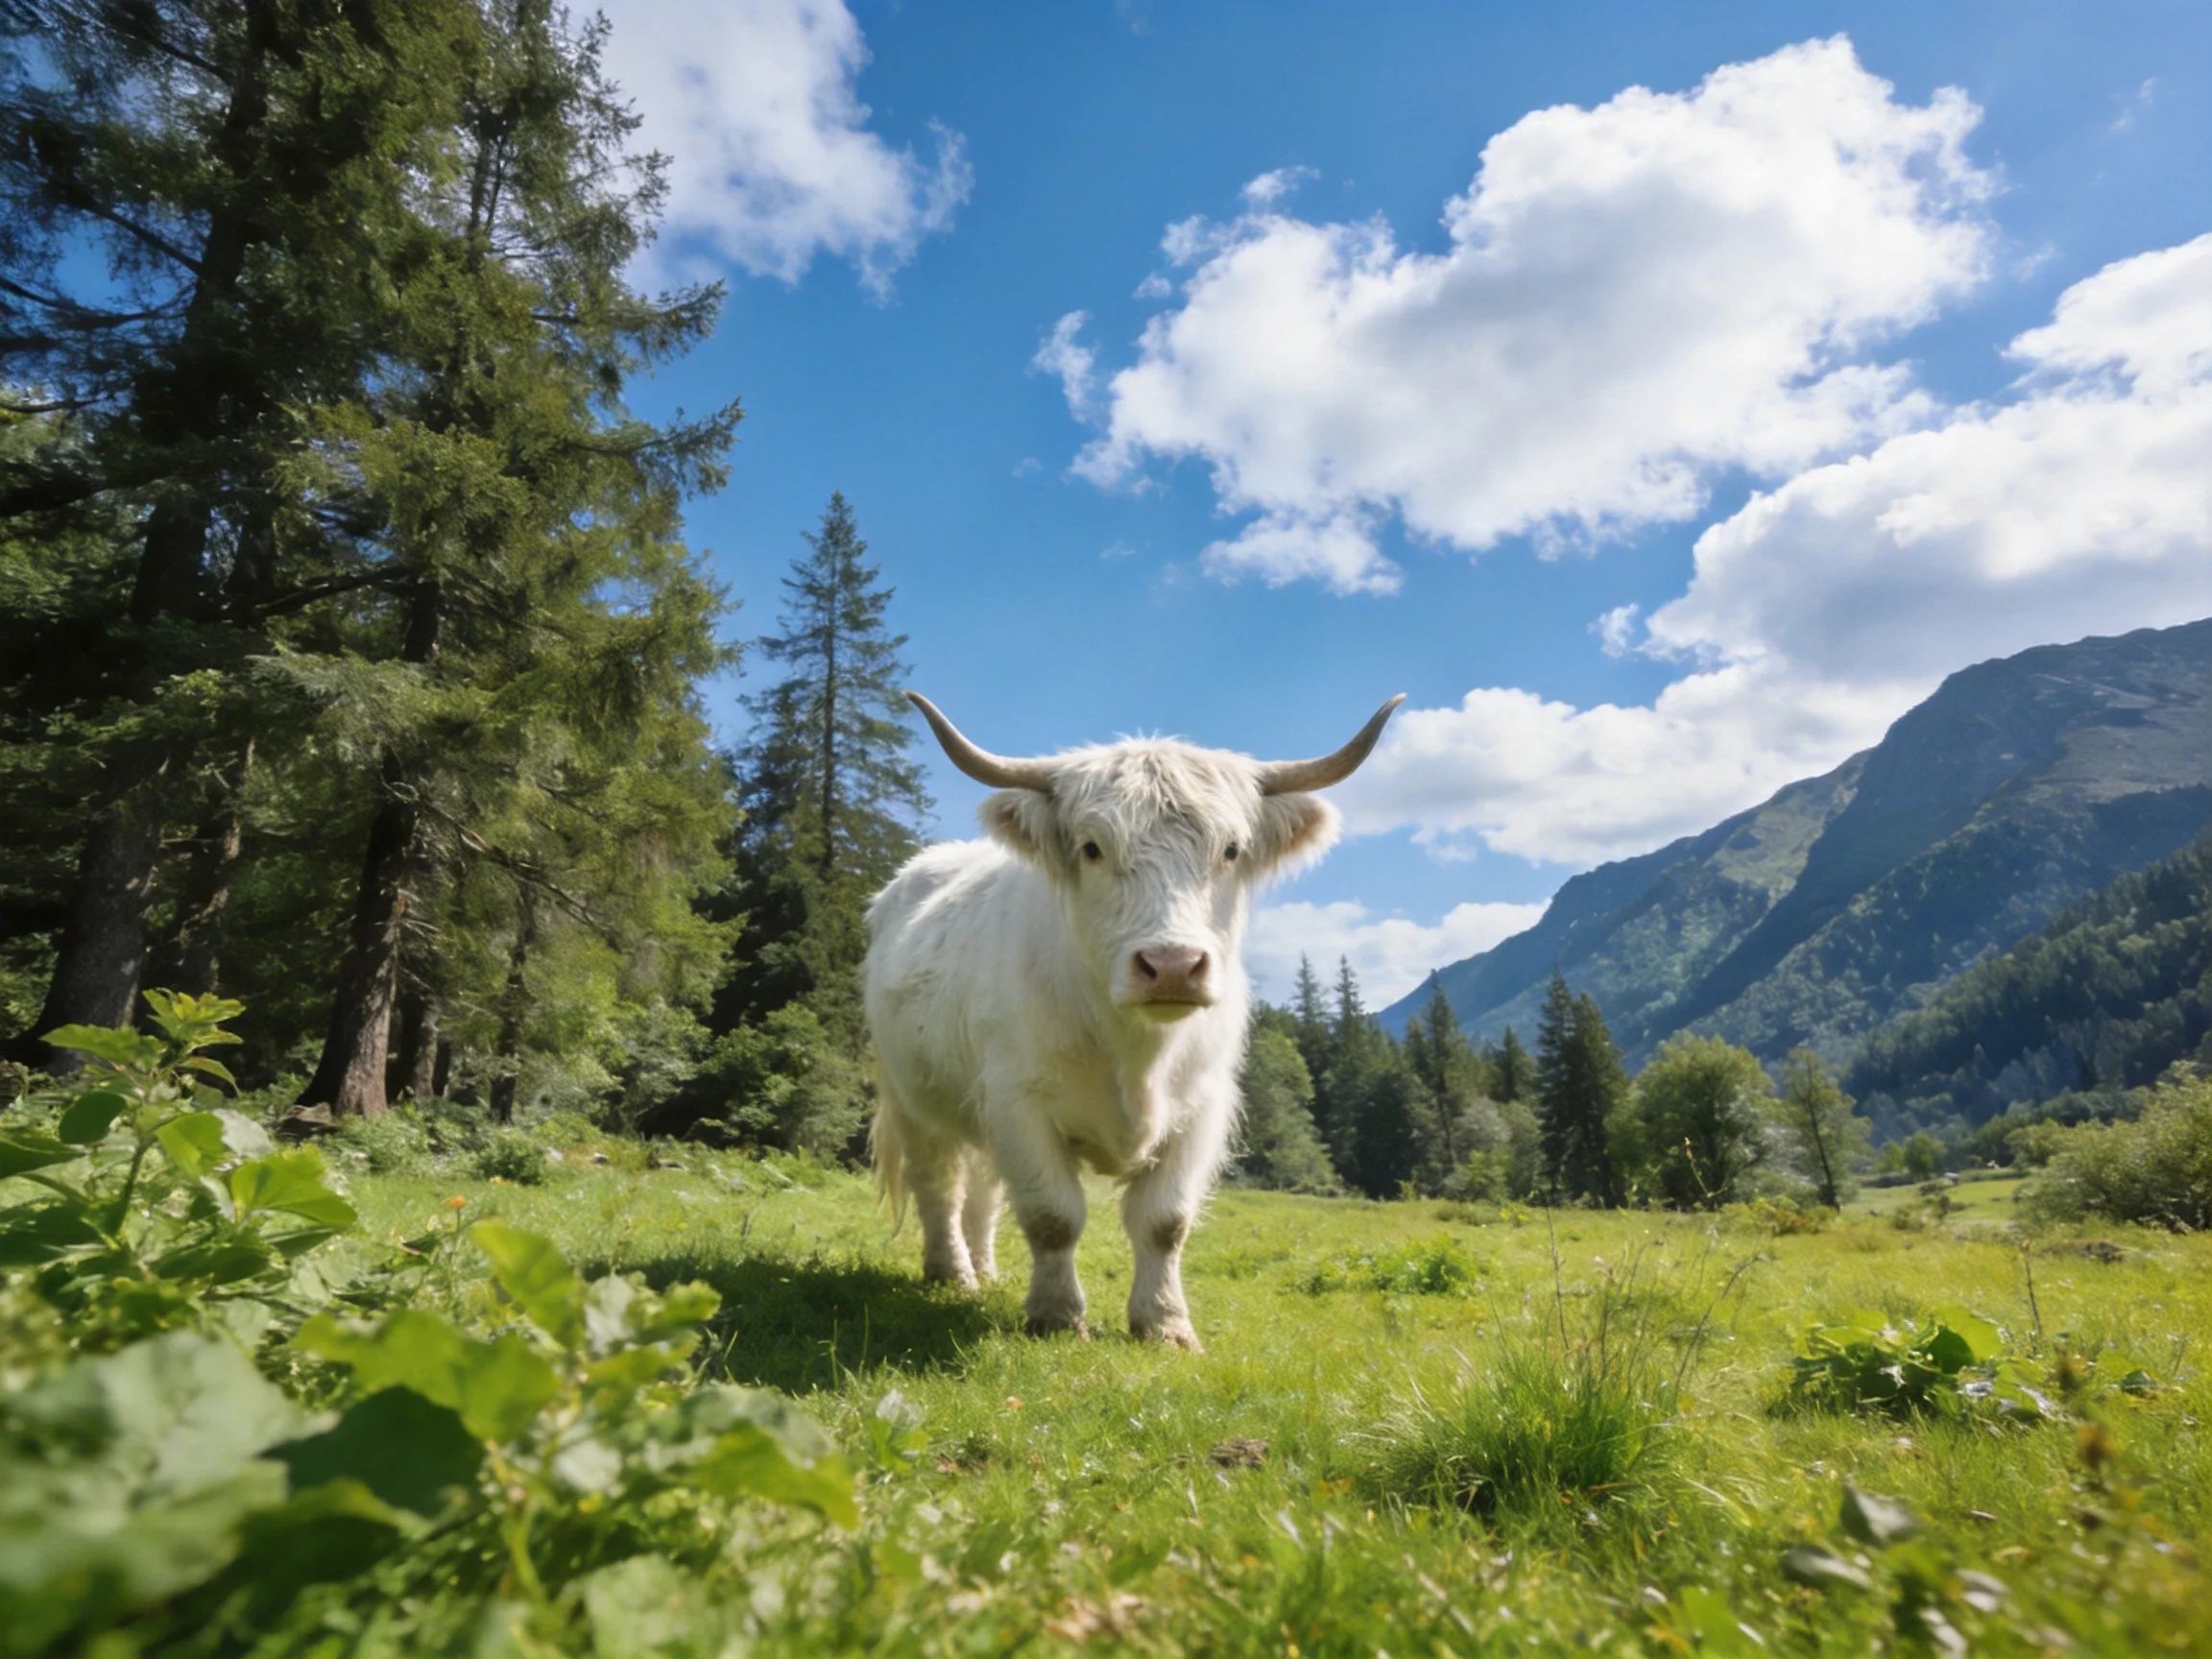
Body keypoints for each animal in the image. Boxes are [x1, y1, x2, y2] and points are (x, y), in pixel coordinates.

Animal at [864, 692, 1403, 1350]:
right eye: (1092, 848)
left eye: (1231, 850)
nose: (1172, 966)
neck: (1137, 1054)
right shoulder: (1020, 1102)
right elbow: (1052, 1216)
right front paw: (1057, 1317)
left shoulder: (1201, 1108)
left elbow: (1165, 1222)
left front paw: (1165, 1324)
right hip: (913, 1100)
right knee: (938, 1186)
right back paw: (953, 1274)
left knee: (985, 1194)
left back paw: (986, 1271)